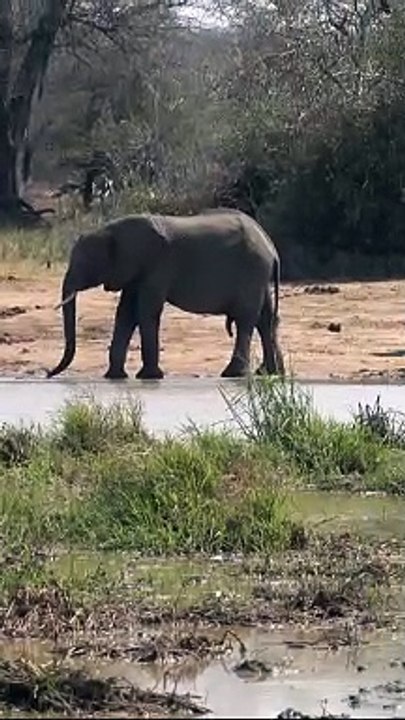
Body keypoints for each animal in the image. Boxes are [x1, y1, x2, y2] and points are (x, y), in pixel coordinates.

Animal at [46, 209, 284, 380]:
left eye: (85, 263)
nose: (48, 373)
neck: (111, 230)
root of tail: (272, 249)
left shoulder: (157, 265)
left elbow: (145, 312)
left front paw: (149, 377)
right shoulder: (135, 272)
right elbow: (125, 314)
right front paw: (115, 377)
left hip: (252, 270)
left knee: (246, 320)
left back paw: (233, 374)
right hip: (259, 275)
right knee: (266, 320)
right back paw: (270, 372)